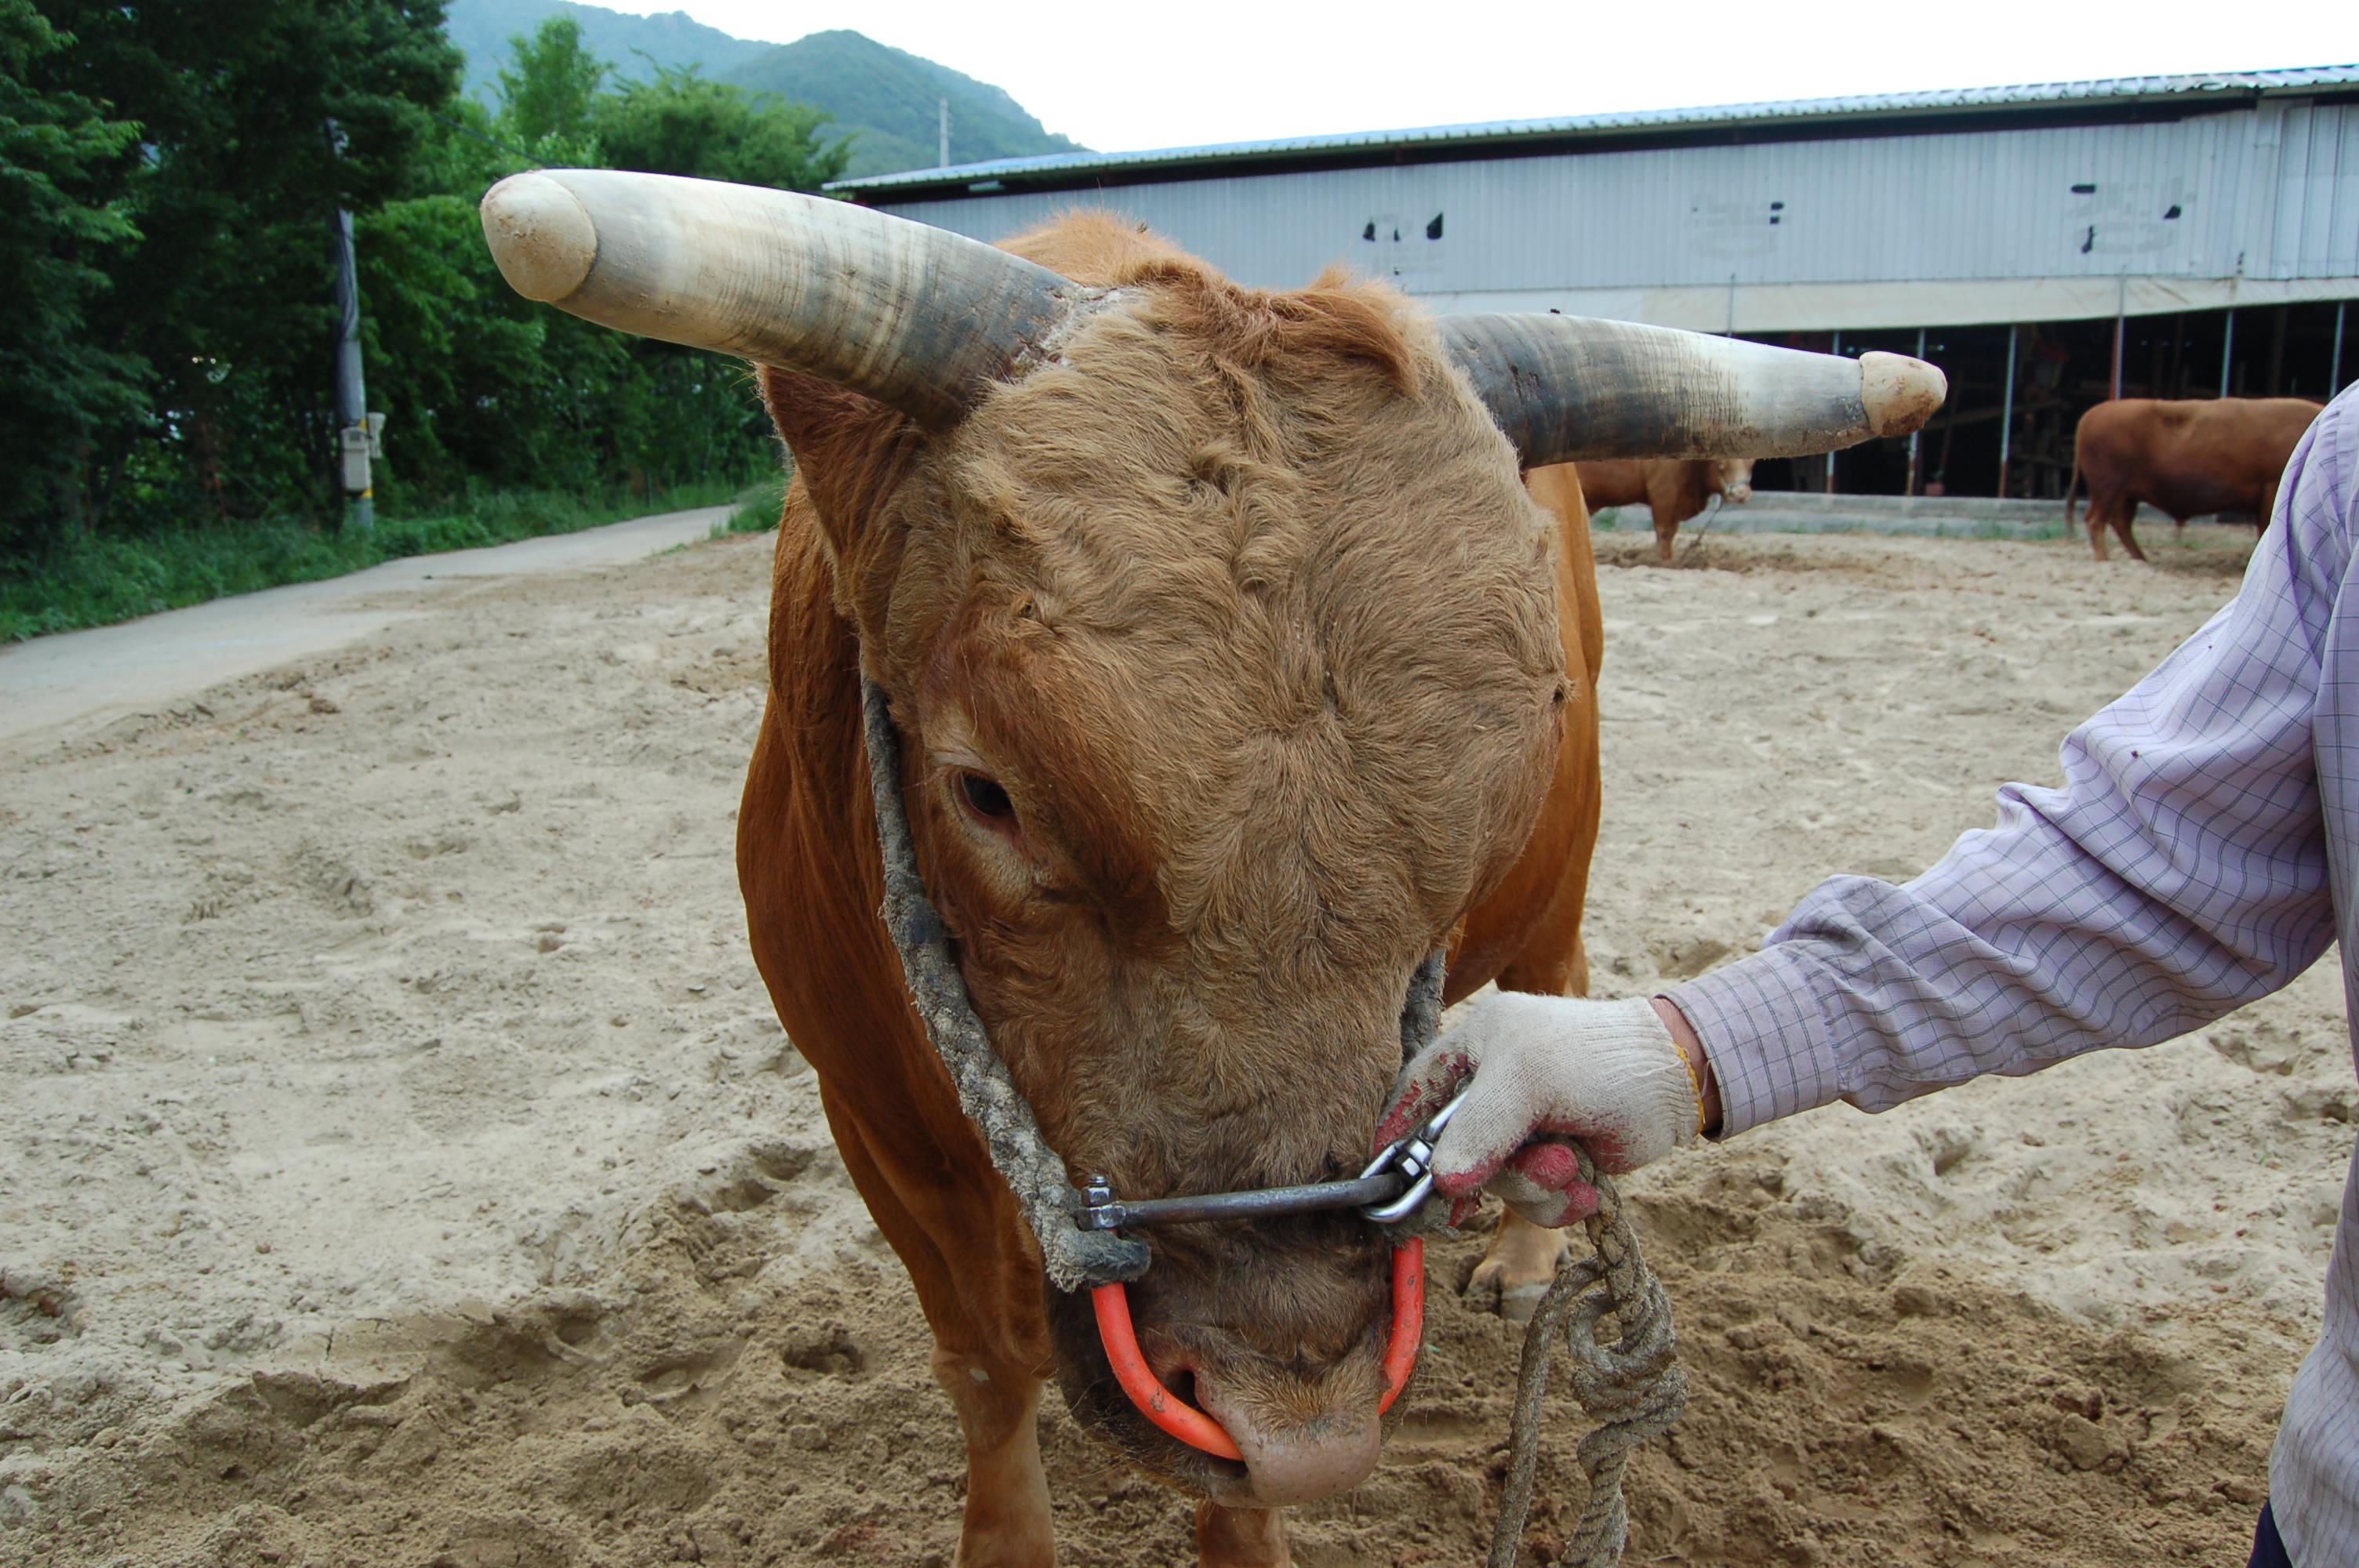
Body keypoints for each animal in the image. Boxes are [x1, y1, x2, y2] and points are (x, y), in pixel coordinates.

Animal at [1528, 455, 1754, 558]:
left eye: (1752, 463)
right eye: (1721, 462)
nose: (1741, 494)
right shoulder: (1664, 496)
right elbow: (1664, 533)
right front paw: (1663, 560)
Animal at [2066, 398, 2321, 563]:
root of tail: (2090, 416)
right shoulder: (2272, 490)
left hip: (2125, 494)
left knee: (2120, 523)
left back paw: (2141, 560)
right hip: (2108, 488)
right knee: (2096, 521)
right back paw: (2105, 560)